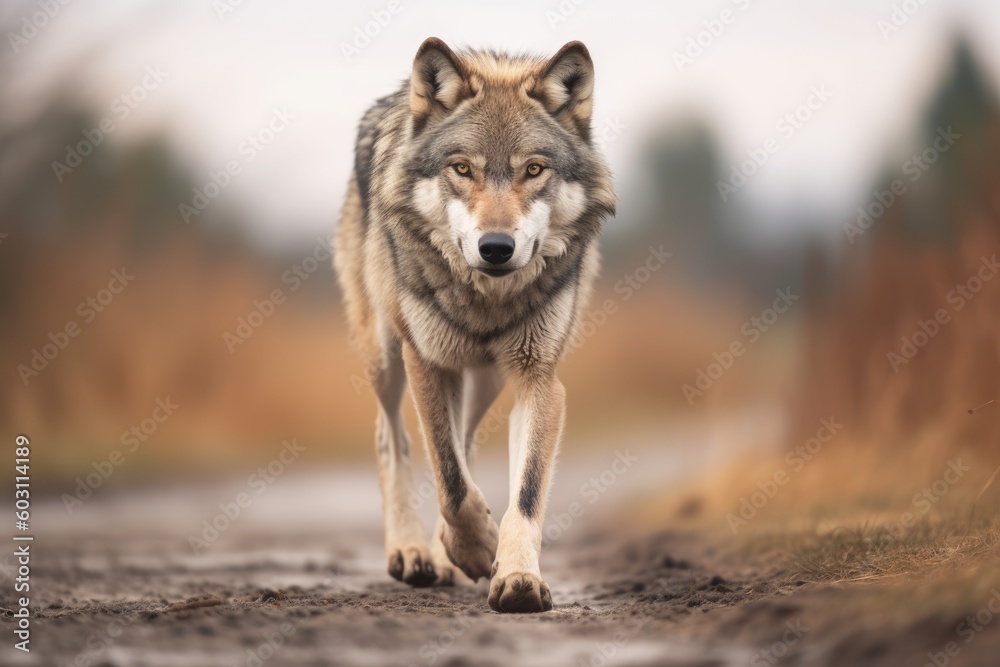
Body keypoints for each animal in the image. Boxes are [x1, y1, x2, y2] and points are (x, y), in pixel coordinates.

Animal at [333, 37, 615, 613]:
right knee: (391, 437)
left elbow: (522, 489)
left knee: (463, 442)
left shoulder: (538, 380)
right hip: (386, 357)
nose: (496, 247)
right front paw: (477, 549)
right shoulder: (427, 362)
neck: (487, 300)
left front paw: (516, 576)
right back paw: (412, 551)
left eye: (534, 170)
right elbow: (450, 480)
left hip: (483, 379)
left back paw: (443, 553)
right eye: (463, 169)